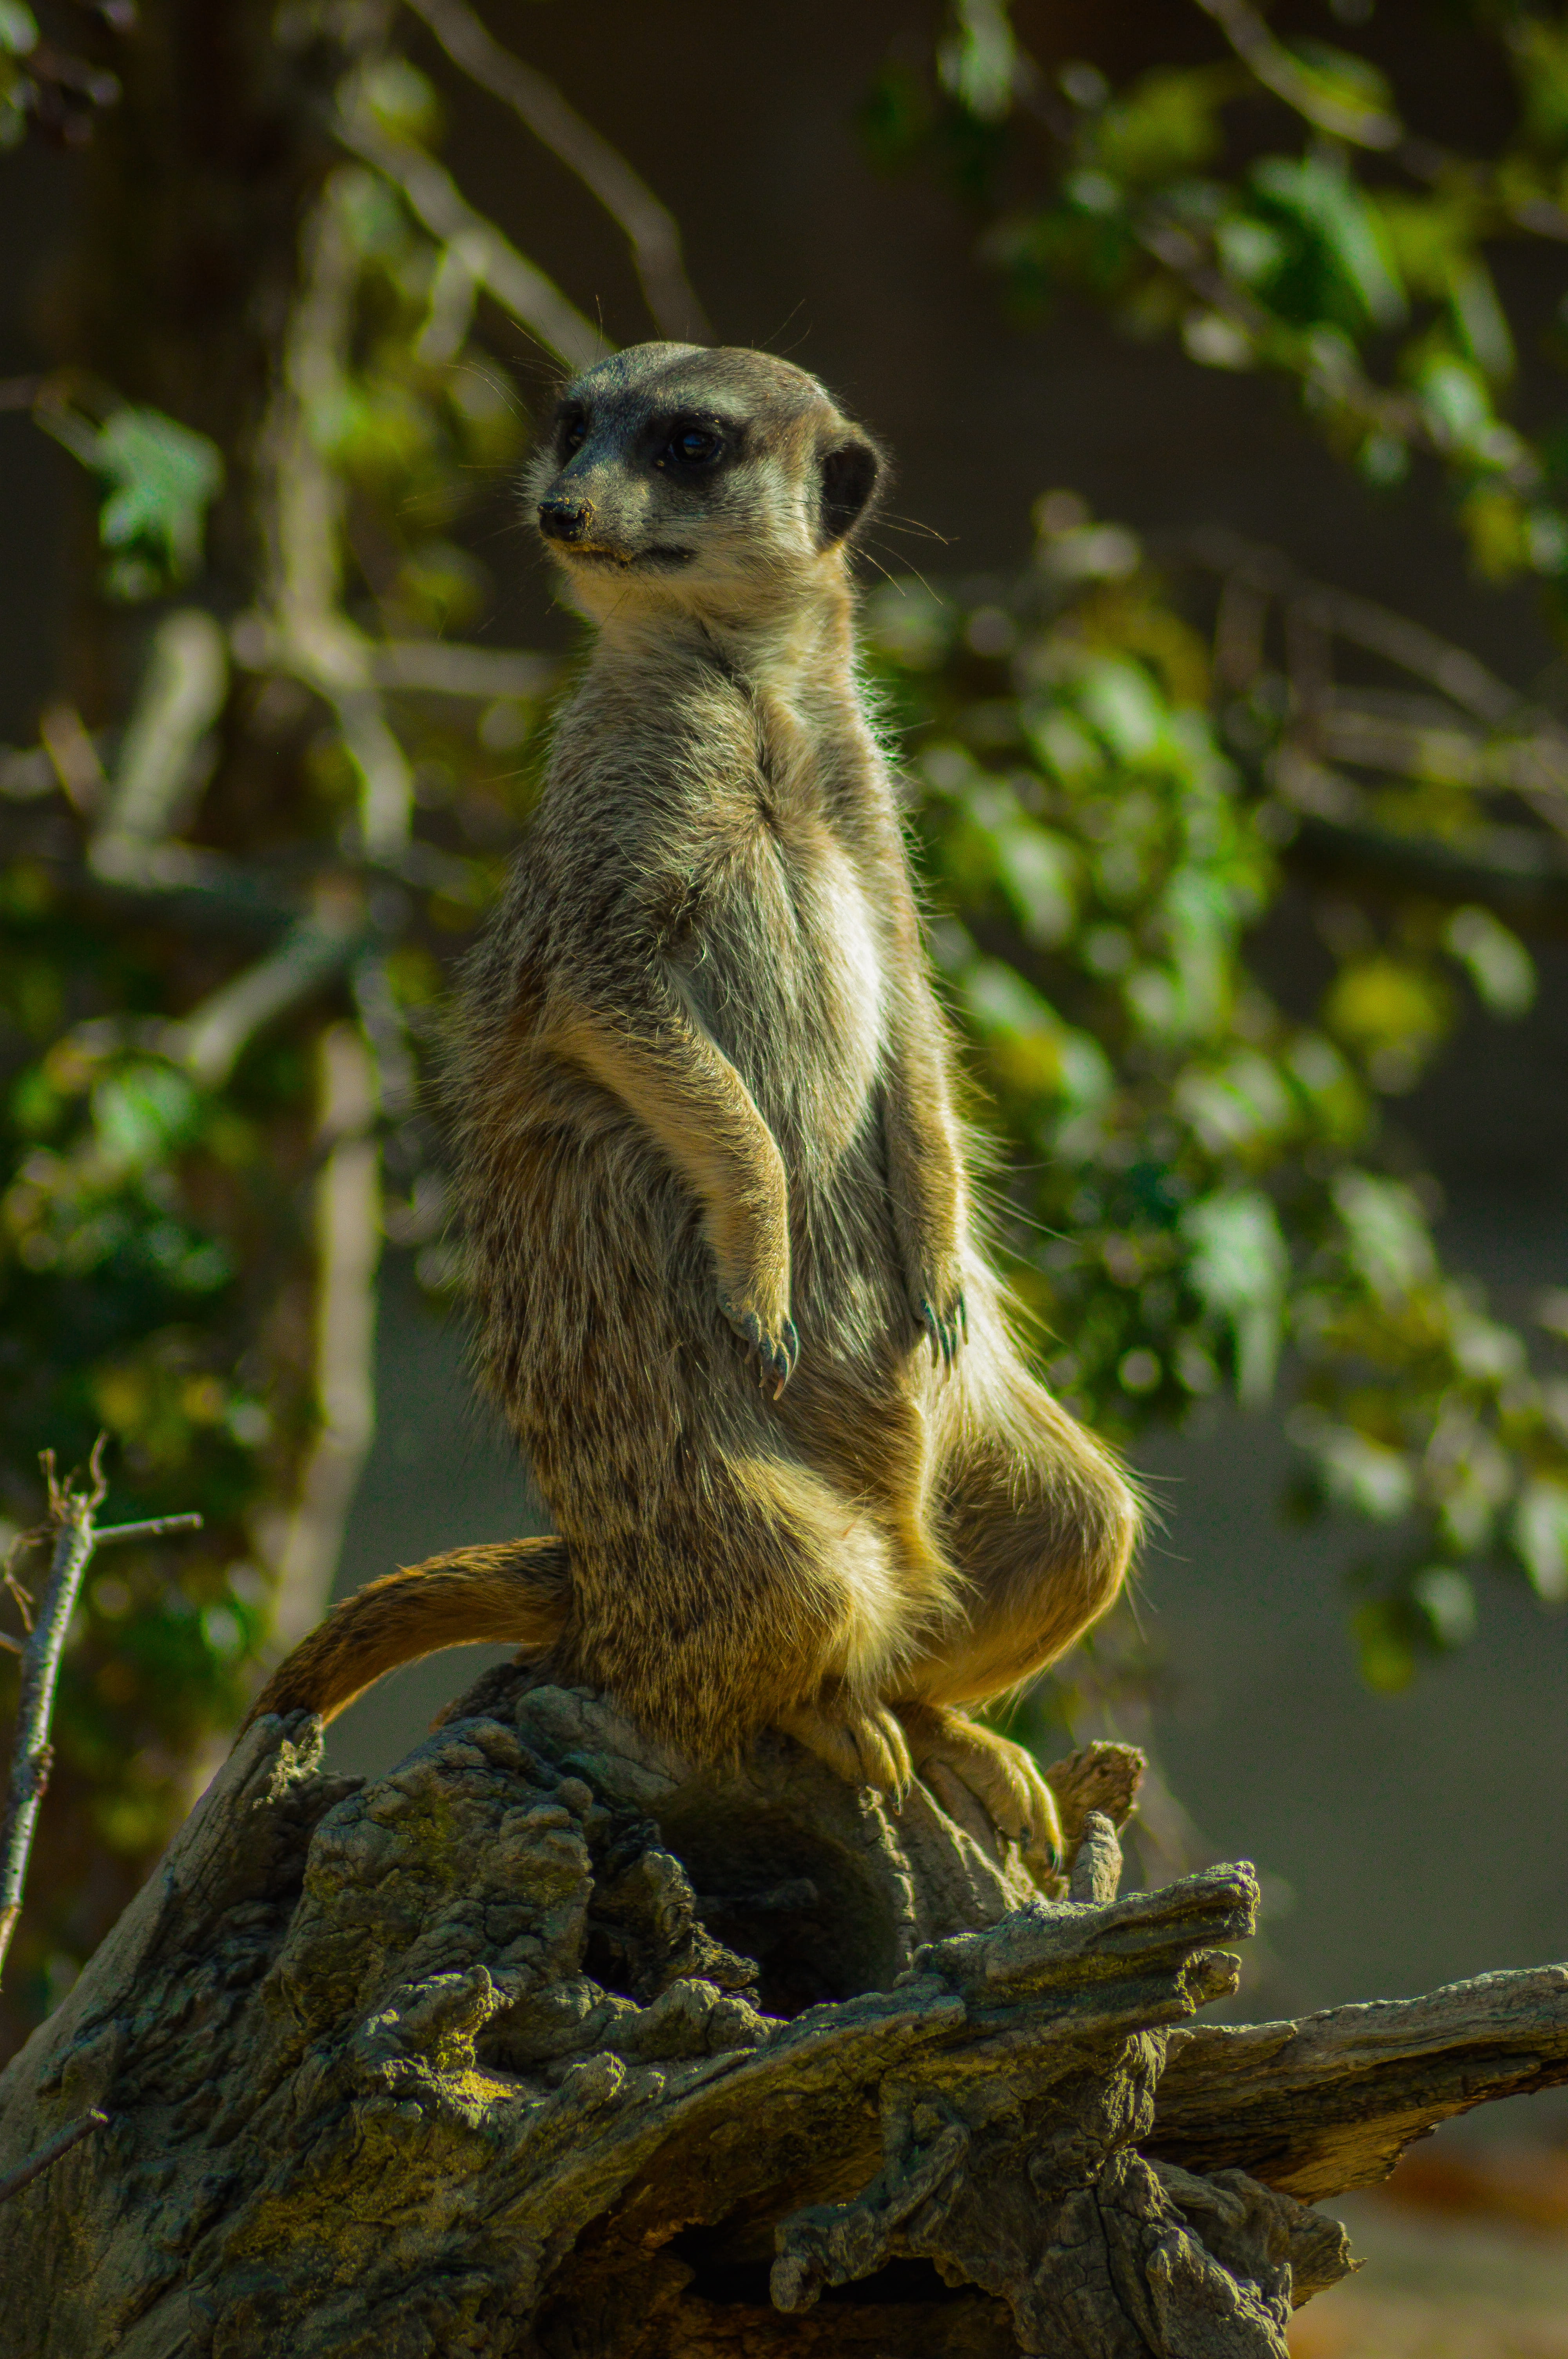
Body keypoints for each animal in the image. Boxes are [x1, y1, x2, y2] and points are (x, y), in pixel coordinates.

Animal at [249, 344, 1139, 1875]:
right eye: (568, 422)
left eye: (687, 443)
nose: (560, 508)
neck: (757, 712)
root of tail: (592, 1580)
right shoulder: (604, 879)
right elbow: (621, 1016)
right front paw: (764, 1244)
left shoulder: (875, 839)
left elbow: (919, 1033)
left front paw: (942, 1258)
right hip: (718, 1496)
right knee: (763, 1628)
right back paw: (838, 1717)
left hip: (985, 1444)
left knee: (1078, 1526)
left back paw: (960, 1733)